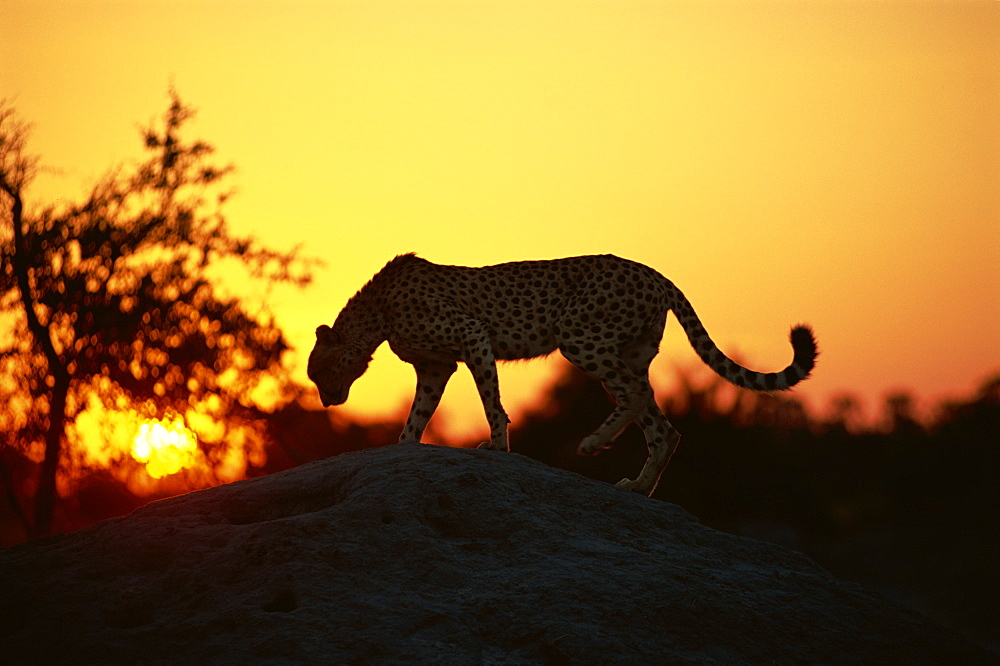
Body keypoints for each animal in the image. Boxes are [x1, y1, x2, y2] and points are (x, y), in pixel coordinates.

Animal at [308, 254, 816, 492]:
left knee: (633, 397)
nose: (328, 401)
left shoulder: (472, 336)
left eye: (319, 371)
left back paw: (592, 442)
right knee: (661, 425)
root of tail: (652, 271)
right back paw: (640, 486)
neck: (376, 314)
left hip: (579, 336)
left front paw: (496, 445)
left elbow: (491, 401)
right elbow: (415, 419)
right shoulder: (436, 367)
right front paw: (405, 449)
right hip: (629, 351)